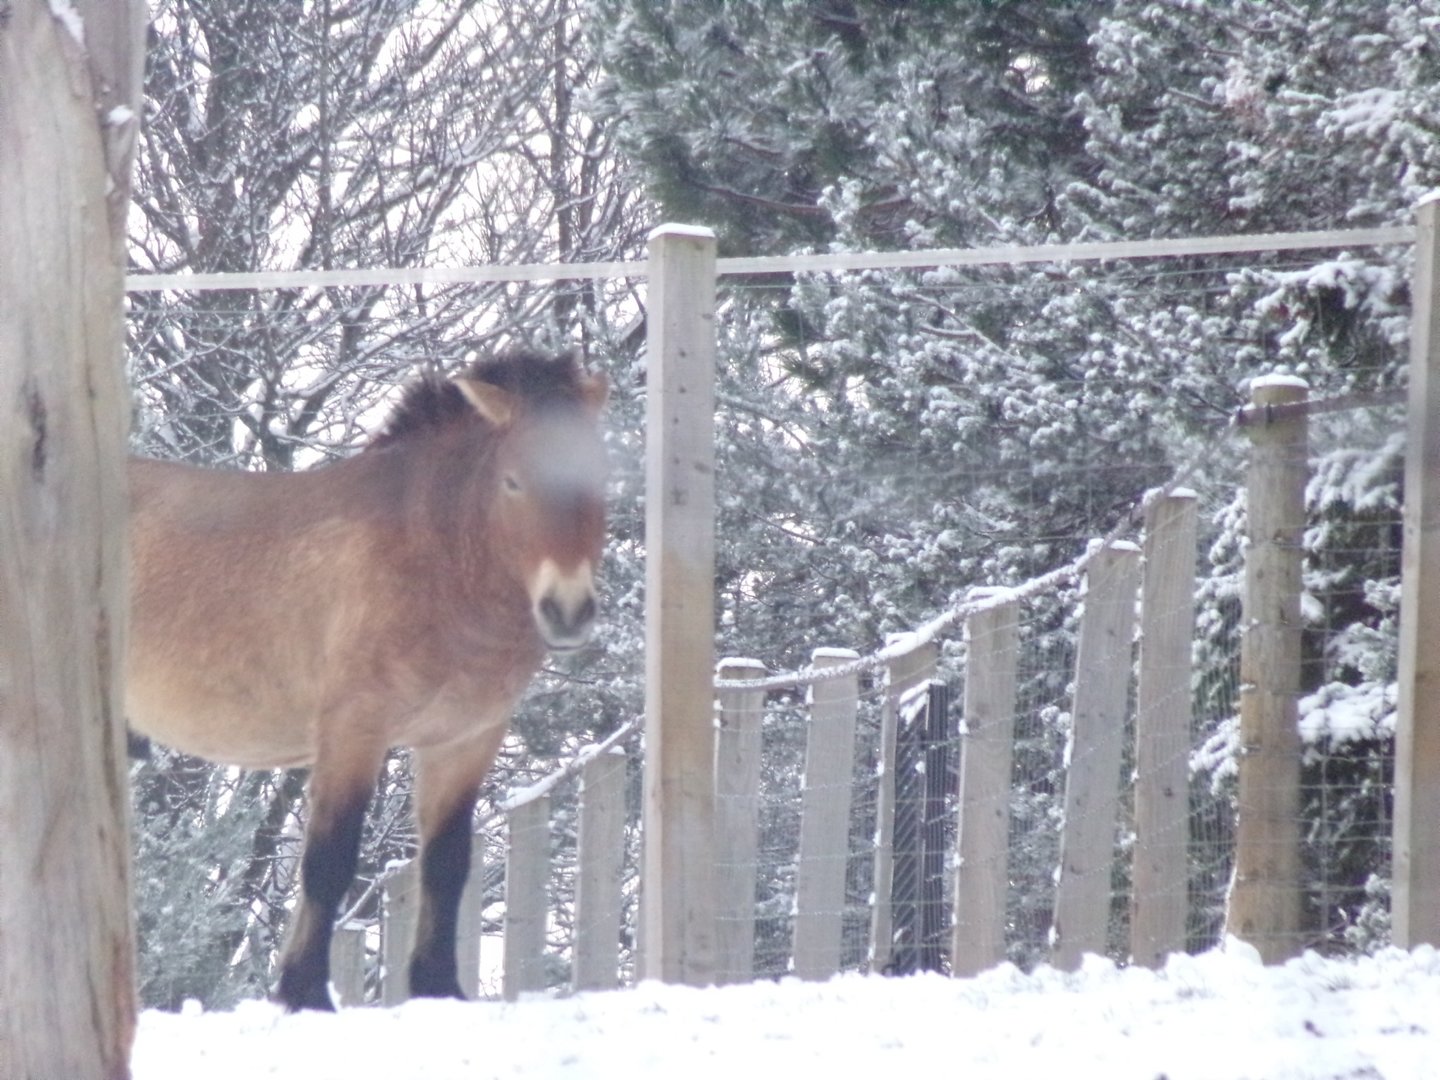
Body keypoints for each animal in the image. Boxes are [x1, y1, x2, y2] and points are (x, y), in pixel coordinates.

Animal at [125, 349, 609, 1011]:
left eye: (600, 477)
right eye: (514, 482)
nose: (568, 610)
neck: (429, 555)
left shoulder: (464, 741)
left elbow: (446, 863)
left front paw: (438, 987)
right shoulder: (354, 731)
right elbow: (329, 861)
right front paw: (305, 992)